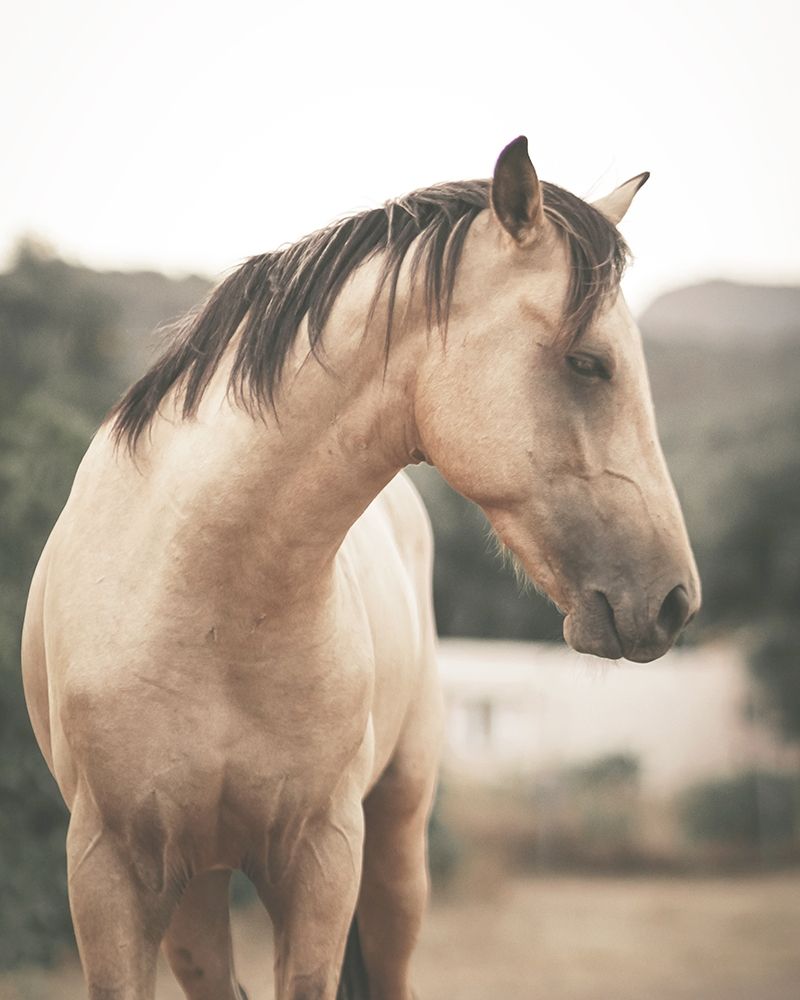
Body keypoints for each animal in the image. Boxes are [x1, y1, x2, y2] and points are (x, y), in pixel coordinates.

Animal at [21, 136, 700, 1000]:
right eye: (588, 362)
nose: (675, 599)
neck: (205, 600)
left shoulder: (321, 860)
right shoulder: (110, 872)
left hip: (393, 851)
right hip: (196, 890)